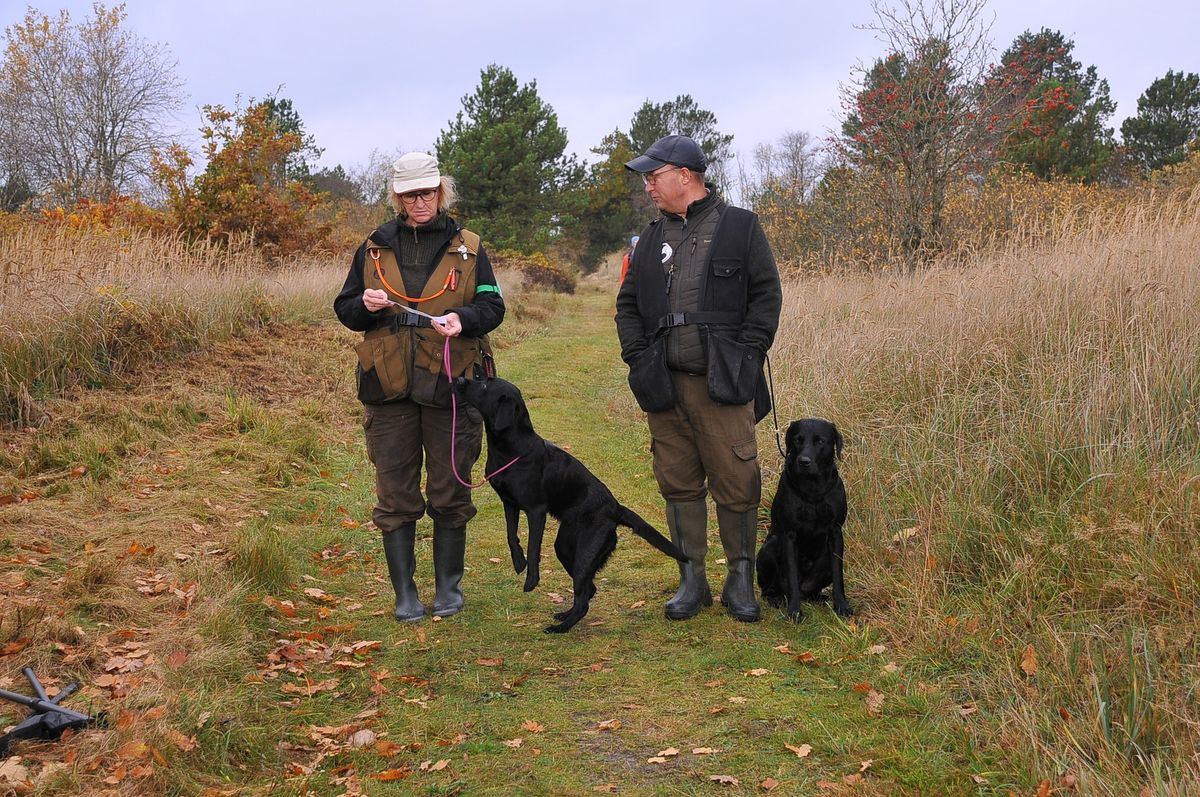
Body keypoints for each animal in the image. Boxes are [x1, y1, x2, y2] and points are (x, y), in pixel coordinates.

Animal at [453, 376, 691, 633]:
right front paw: (518, 563)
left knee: (584, 597)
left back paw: (561, 627)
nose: (459, 379)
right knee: (588, 590)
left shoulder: (536, 510)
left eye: (484, 384)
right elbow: (511, 535)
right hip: (566, 547)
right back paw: (564, 616)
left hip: (585, 552)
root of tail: (616, 508)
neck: (510, 448)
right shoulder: (509, 503)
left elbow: (533, 547)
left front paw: (531, 580)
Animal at [758, 417, 854, 624]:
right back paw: (776, 597)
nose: (804, 461)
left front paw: (842, 606)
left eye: (820, 441)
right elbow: (792, 577)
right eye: (797, 440)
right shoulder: (789, 535)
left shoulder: (836, 532)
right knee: (771, 588)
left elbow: (838, 575)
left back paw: (820, 597)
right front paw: (794, 611)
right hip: (770, 547)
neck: (813, 489)